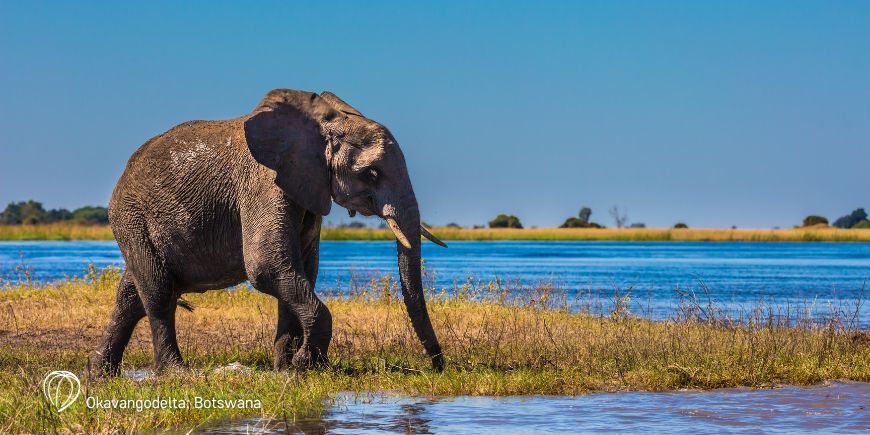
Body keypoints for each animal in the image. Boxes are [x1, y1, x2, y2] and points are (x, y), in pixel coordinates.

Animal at [92, 88, 446, 374]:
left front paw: (287, 369)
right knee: (158, 293)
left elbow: (301, 270)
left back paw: (101, 374)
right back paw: (176, 374)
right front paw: (305, 365)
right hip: (131, 217)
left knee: (131, 295)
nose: (438, 365)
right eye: (372, 173)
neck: (321, 124)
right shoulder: (262, 184)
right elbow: (268, 267)